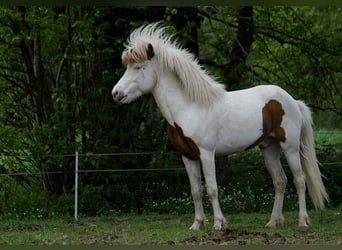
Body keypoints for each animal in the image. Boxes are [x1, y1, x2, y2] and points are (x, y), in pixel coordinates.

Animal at [112, 22, 328, 229]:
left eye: (138, 67)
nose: (116, 93)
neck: (189, 107)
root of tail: (293, 101)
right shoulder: (187, 157)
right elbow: (196, 191)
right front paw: (197, 224)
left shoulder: (207, 154)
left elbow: (212, 189)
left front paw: (219, 223)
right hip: (269, 147)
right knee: (280, 181)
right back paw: (273, 222)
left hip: (290, 147)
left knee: (299, 181)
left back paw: (303, 221)